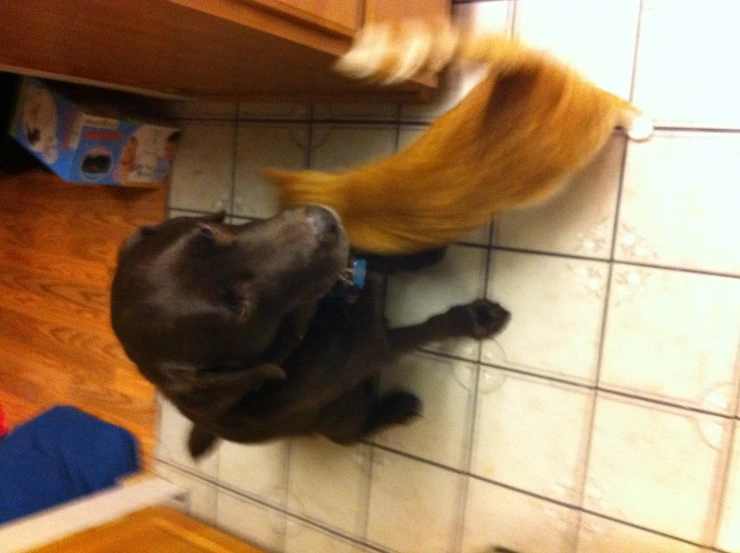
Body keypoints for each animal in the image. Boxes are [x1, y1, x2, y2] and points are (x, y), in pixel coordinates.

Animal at [111, 207, 508, 458]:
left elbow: (379, 256)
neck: (312, 324)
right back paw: (397, 408)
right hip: (345, 410)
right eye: (240, 307)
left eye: (207, 232)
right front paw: (476, 318)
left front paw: (424, 242)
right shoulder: (376, 347)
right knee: (354, 433)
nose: (324, 223)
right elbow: (428, 328)